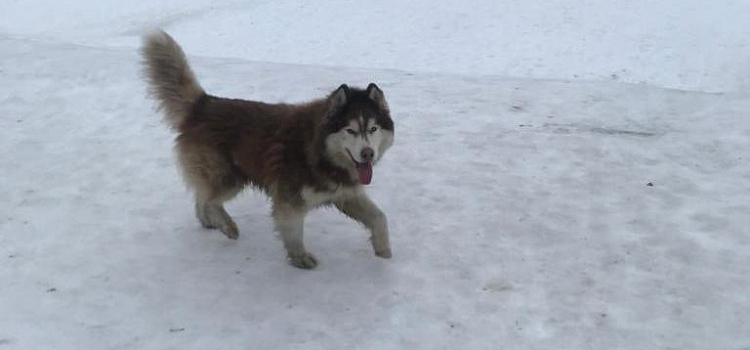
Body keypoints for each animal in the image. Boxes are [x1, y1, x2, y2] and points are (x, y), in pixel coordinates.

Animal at [143, 31, 396, 270]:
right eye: (350, 130)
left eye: (373, 128)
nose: (367, 154)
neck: (320, 152)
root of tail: (203, 103)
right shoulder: (289, 201)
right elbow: (293, 232)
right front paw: (300, 257)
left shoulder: (346, 193)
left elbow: (379, 217)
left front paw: (383, 249)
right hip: (230, 178)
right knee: (209, 199)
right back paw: (227, 225)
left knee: (201, 195)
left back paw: (209, 222)